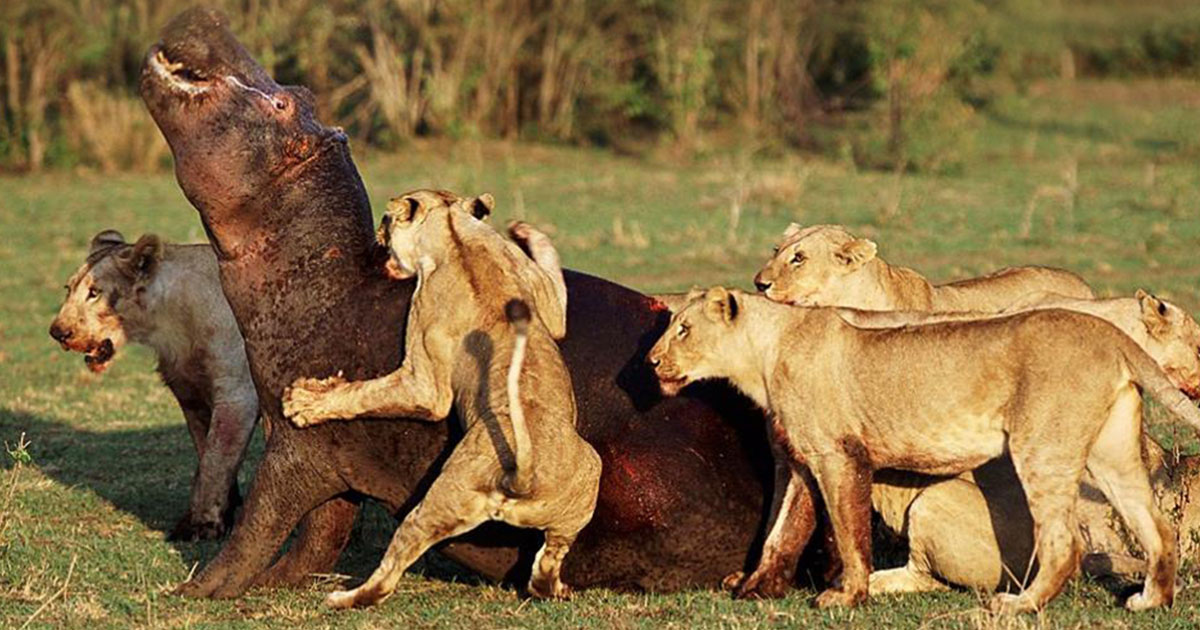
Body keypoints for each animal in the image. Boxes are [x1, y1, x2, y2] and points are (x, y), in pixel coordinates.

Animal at [49, 230, 257, 541]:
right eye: (68, 288)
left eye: (94, 292)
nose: (57, 332)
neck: (172, 327)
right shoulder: (191, 395)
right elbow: (205, 452)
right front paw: (222, 512)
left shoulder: (238, 394)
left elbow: (215, 459)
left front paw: (202, 526)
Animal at [280, 189, 601, 608]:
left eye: (387, 219)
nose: (379, 236)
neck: (454, 231)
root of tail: (522, 475)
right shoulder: (549, 305)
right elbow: (553, 273)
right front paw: (523, 230)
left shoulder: (425, 379)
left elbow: (367, 392)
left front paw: (303, 402)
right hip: (587, 480)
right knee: (549, 563)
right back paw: (557, 587)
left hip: (439, 503)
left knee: (389, 573)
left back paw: (342, 598)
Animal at [648, 287, 1200, 613]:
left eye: (683, 329)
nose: (651, 360)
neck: (765, 352)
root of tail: (1108, 333)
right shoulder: (803, 459)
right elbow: (781, 531)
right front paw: (755, 587)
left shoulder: (838, 455)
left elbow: (848, 532)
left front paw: (846, 595)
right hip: (1111, 451)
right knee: (1157, 527)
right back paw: (1150, 600)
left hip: (1041, 447)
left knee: (1065, 541)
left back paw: (1019, 607)